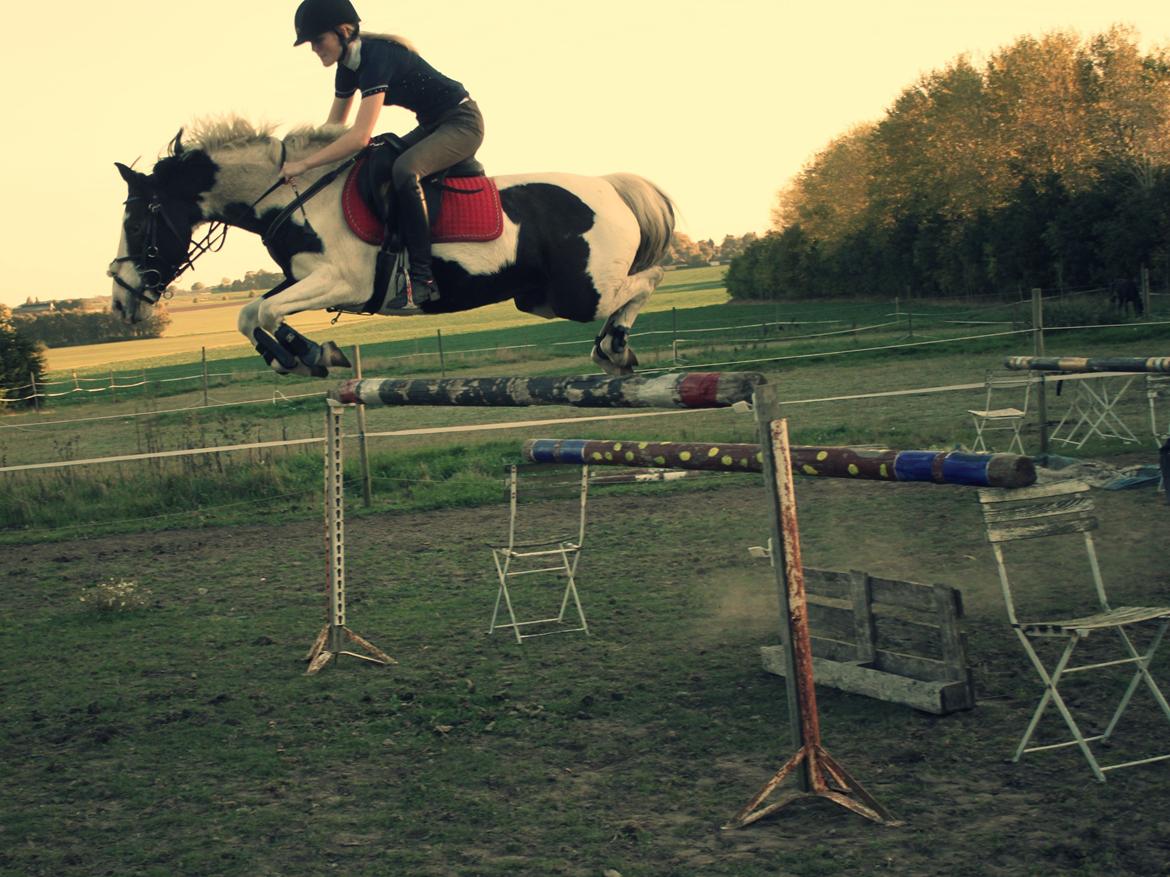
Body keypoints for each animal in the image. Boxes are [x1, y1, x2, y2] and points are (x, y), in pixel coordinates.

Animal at [108, 118, 676, 377]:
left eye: (135, 222)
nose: (120, 299)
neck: (296, 192)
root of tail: (610, 187)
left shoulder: (342, 281)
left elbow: (261, 312)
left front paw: (307, 355)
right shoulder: (303, 278)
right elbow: (252, 311)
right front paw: (305, 356)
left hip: (583, 291)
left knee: (648, 280)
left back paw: (615, 347)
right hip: (539, 299)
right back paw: (612, 350)